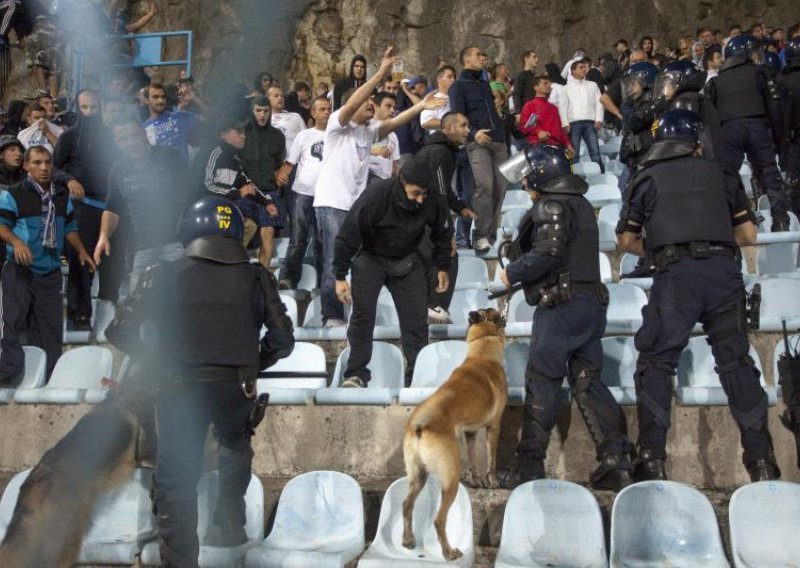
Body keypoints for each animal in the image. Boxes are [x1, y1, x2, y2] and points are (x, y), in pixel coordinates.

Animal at [400, 306, 506, 560]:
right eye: (497, 314)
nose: (504, 316)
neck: (482, 352)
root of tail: (419, 425)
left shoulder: (470, 432)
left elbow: (475, 461)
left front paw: (477, 481)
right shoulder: (493, 426)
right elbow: (491, 461)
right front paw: (491, 482)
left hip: (418, 476)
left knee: (407, 505)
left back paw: (408, 540)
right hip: (450, 479)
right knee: (439, 519)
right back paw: (449, 552)